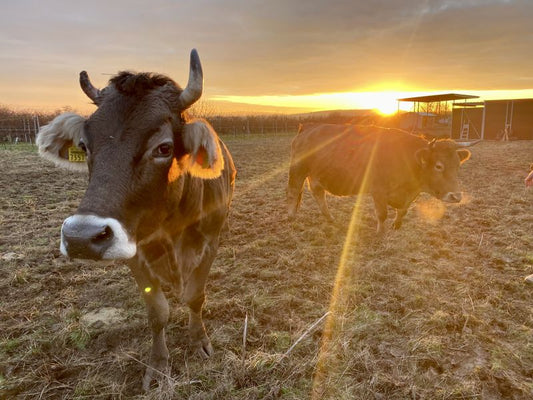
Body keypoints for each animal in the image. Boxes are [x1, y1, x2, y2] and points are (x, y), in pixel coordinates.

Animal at [36, 48, 236, 390]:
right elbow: (157, 312)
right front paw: (158, 365)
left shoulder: (210, 241)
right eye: (84, 146)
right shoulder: (133, 251)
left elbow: (195, 296)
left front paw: (199, 342)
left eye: (163, 147)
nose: (80, 237)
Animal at [286, 123, 470, 233]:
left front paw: (397, 225)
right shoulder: (378, 191)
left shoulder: (408, 196)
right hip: (298, 170)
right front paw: (381, 233)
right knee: (294, 192)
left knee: (318, 194)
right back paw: (291, 217)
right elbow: (382, 214)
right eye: (438, 166)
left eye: (458, 166)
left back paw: (330, 218)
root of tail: (307, 128)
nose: (456, 196)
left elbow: (402, 211)